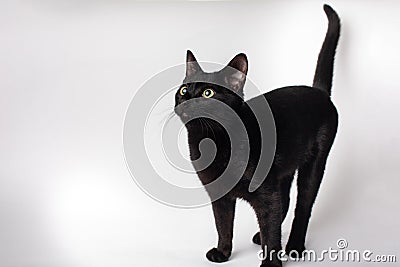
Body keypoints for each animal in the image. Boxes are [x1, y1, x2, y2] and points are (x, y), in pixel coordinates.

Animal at [173, 4, 340, 267]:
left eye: (208, 93)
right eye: (183, 90)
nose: (187, 100)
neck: (213, 143)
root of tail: (319, 92)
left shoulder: (266, 192)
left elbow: (270, 227)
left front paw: (271, 263)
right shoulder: (219, 194)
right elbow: (223, 224)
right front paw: (223, 253)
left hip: (315, 164)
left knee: (303, 206)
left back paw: (294, 246)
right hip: (284, 170)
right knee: (285, 202)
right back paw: (260, 236)